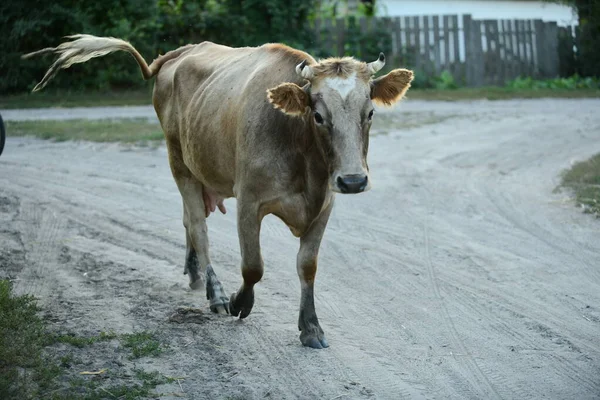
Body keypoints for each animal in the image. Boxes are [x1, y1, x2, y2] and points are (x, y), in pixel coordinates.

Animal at [28, 33, 412, 346]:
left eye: (370, 112)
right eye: (318, 115)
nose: (353, 180)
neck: (301, 153)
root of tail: (180, 52)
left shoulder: (323, 206)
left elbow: (307, 266)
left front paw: (311, 327)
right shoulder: (250, 201)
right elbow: (253, 266)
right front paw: (240, 302)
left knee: (188, 219)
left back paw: (195, 272)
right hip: (178, 161)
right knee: (199, 227)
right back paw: (215, 293)